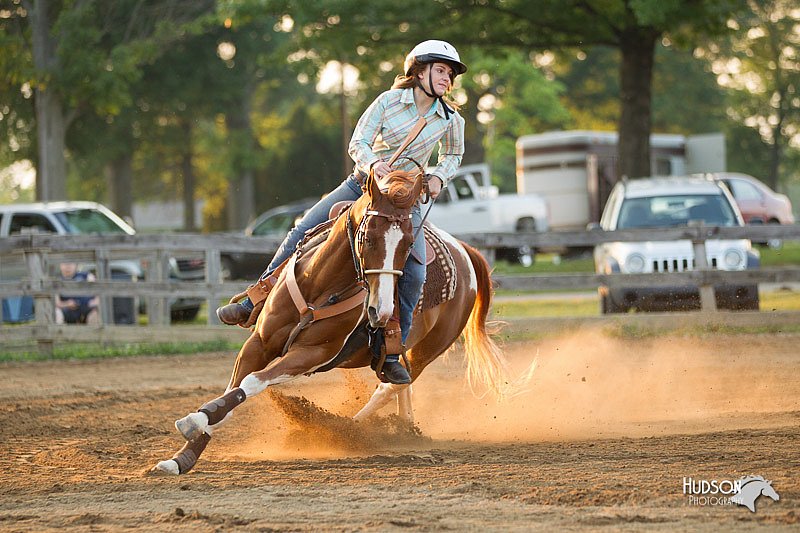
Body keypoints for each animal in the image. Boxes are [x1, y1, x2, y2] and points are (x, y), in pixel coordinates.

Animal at [155, 169, 520, 474]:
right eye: (368, 237)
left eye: (407, 245)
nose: (381, 310)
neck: (318, 286)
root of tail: (465, 250)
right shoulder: (259, 343)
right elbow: (235, 388)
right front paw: (184, 454)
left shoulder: (311, 354)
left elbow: (253, 382)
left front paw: (194, 420)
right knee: (401, 386)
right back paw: (403, 430)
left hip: (430, 348)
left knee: (390, 386)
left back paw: (348, 429)